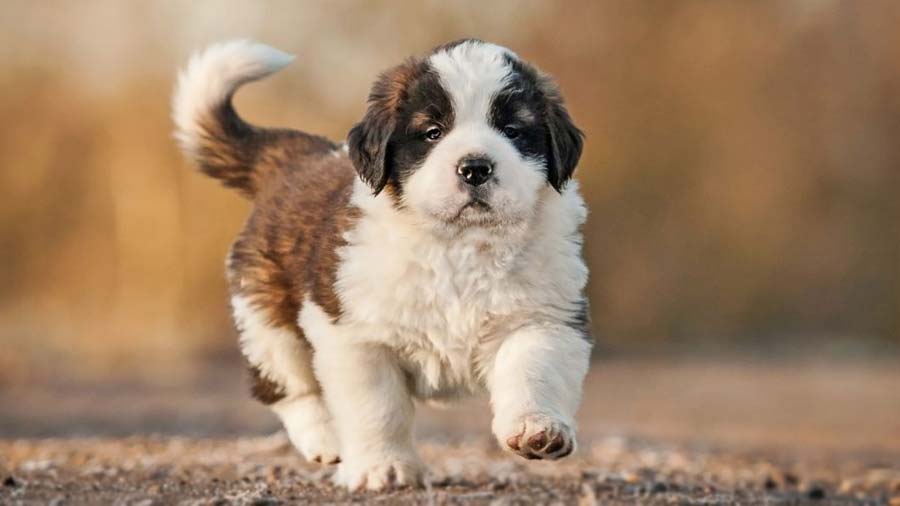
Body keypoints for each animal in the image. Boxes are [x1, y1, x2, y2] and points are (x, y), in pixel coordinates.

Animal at [172, 38, 596, 490]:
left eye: (513, 131)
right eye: (432, 132)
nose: (475, 168)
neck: (460, 244)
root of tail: (299, 159)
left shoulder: (544, 317)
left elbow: (533, 368)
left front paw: (538, 429)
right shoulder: (356, 336)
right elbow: (377, 409)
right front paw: (383, 466)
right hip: (267, 320)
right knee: (287, 386)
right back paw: (326, 439)